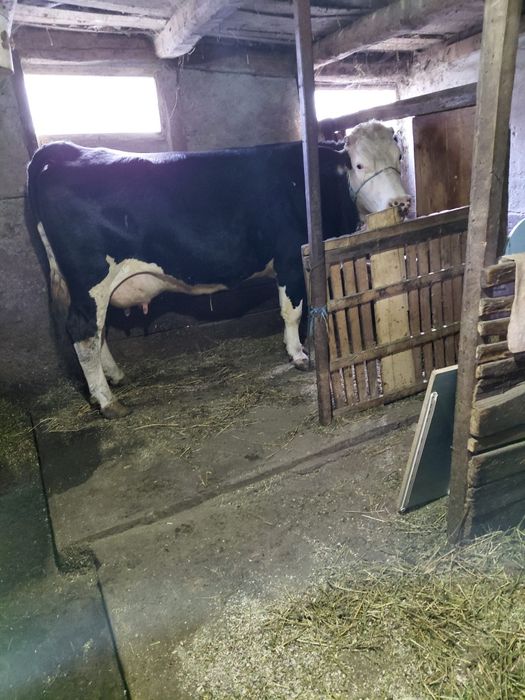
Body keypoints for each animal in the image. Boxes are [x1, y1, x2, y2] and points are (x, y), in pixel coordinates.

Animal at [27, 120, 410, 418]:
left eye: (399, 158)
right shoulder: (288, 257)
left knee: (98, 331)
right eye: (358, 165)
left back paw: (115, 377)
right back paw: (108, 401)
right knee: (84, 333)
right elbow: (292, 311)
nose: (402, 203)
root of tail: (64, 150)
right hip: (91, 280)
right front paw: (298, 354)